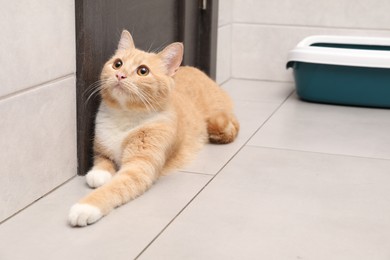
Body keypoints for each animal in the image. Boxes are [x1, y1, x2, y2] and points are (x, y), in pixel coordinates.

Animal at [69, 30, 239, 225]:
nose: (120, 75)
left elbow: (113, 189)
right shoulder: (102, 150)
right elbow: (102, 162)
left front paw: (86, 207)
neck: (125, 116)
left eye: (143, 71)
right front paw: (99, 174)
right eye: (118, 64)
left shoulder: (139, 168)